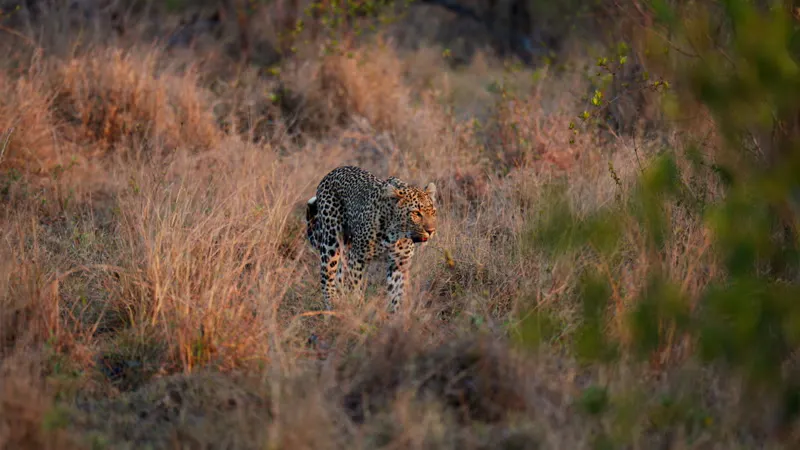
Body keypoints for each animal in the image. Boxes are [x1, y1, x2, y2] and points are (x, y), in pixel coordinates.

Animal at [306, 166, 438, 313]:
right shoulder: (357, 259)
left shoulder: (399, 264)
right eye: (416, 213)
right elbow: (354, 287)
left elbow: (397, 294)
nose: (431, 231)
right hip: (331, 241)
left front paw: (397, 316)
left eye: (433, 212)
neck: (397, 235)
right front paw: (357, 309)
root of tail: (332, 172)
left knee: (339, 276)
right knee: (327, 276)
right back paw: (333, 307)